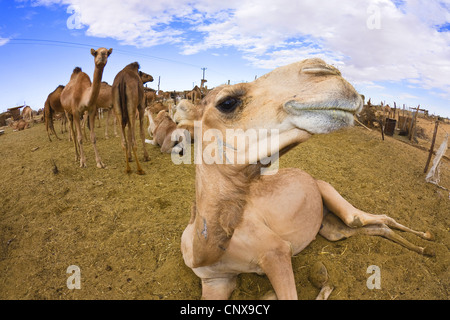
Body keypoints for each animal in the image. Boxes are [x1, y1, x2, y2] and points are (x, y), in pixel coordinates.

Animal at [180, 57, 436, 300]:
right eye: (227, 102)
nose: (326, 70)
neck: (203, 251)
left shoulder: (276, 251)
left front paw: (321, 280)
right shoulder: (216, 281)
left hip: (331, 196)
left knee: (369, 218)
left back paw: (427, 240)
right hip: (330, 228)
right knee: (370, 228)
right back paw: (424, 249)